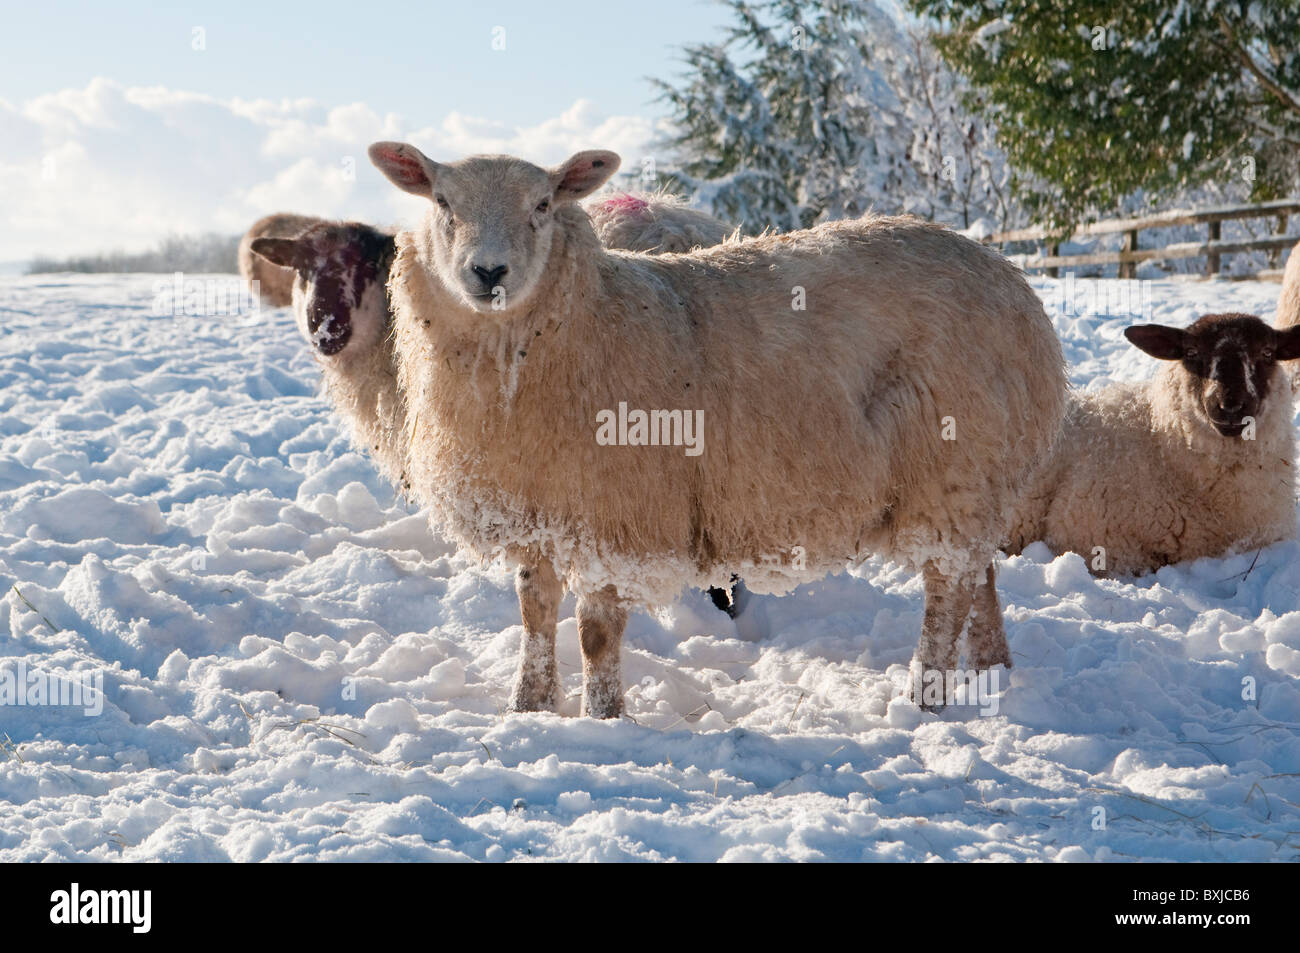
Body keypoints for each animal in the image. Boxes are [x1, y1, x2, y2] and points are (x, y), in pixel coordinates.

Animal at [366, 143, 1066, 712]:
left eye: (542, 204)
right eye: (443, 202)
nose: (488, 273)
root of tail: (1012, 281)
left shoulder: (619, 511)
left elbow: (595, 633)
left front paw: (604, 718)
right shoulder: (541, 506)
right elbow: (534, 614)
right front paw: (529, 708)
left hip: (957, 463)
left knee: (948, 589)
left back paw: (927, 696)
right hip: (978, 475)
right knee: (980, 575)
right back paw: (992, 669)